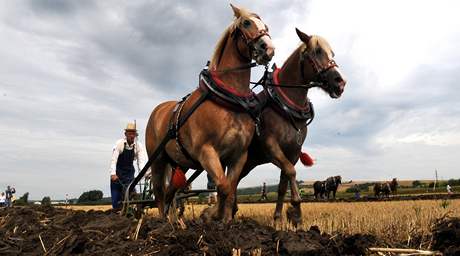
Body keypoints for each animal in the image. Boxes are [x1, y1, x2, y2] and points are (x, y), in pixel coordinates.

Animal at [145, 5, 274, 223]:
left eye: (265, 24)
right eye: (247, 23)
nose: (269, 48)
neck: (229, 100)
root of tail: (157, 111)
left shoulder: (238, 155)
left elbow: (230, 189)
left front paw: (226, 221)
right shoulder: (206, 152)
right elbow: (223, 186)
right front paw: (213, 216)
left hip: (180, 161)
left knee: (171, 191)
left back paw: (174, 221)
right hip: (157, 159)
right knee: (159, 191)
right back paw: (162, 221)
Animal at [237, 28, 344, 224]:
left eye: (332, 53)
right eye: (317, 51)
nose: (340, 82)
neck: (285, 106)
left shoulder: (292, 152)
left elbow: (282, 183)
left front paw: (279, 218)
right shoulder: (271, 147)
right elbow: (291, 172)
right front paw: (296, 208)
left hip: (248, 162)